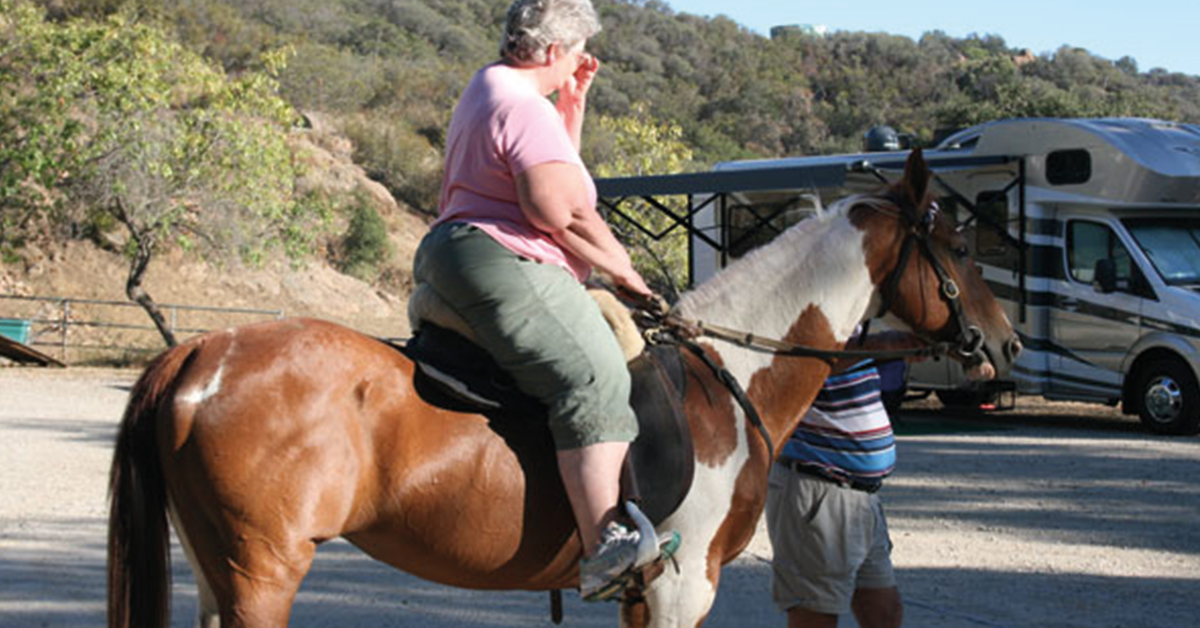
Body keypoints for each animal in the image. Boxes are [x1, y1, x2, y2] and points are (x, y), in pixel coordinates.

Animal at [110, 151, 1012, 628]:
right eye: (962, 245)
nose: (1004, 341)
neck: (727, 377)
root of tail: (202, 352)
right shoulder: (685, 584)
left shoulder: (646, 591)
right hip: (262, 573)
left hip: (218, 569)